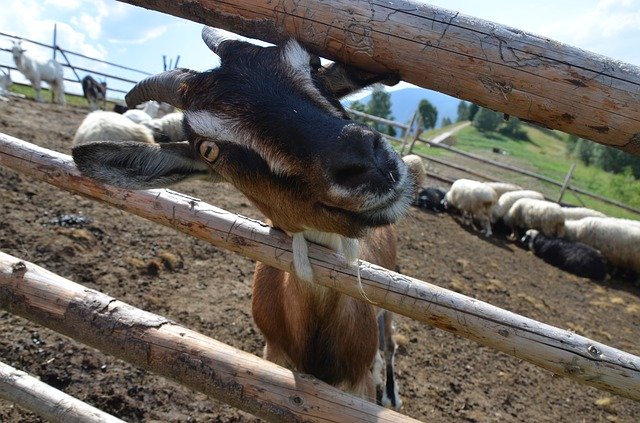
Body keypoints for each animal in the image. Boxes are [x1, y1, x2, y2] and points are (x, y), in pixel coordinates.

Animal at [72, 26, 408, 408]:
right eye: (208, 149)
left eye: (313, 64)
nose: (368, 162)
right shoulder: (274, 356)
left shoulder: (356, 386)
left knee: (389, 343)